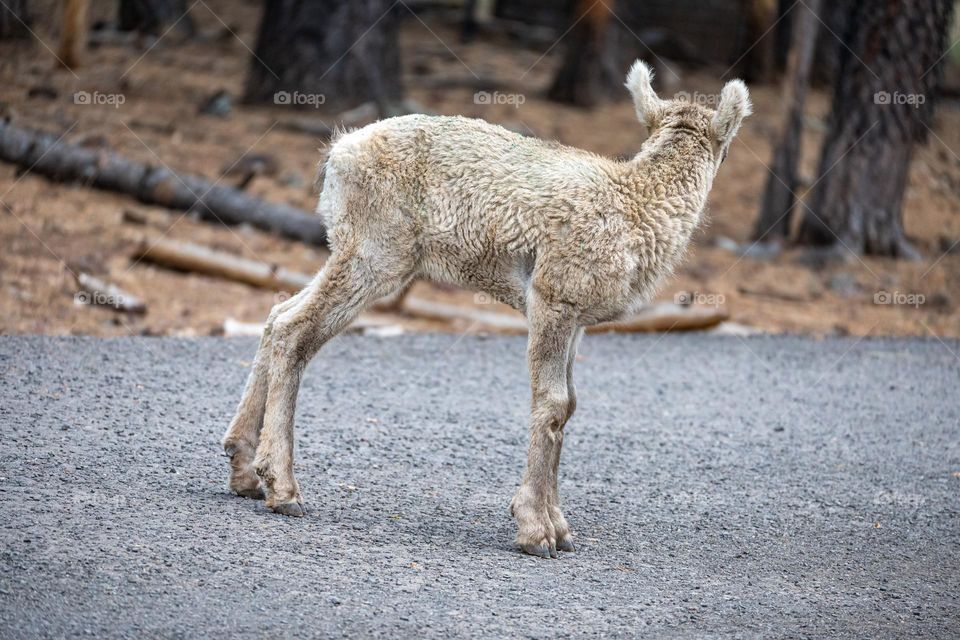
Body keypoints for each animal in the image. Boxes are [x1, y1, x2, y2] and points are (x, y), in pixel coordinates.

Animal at [223, 61, 752, 560]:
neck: (636, 210)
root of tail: (339, 152)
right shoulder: (552, 303)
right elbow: (552, 405)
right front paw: (536, 533)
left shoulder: (577, 322)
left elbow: (570, 406)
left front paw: (562, 531)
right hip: (375, 259)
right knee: (295, 329)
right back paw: (284, 491)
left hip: (350, 254)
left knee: (276, 314)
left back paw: (244, 472)